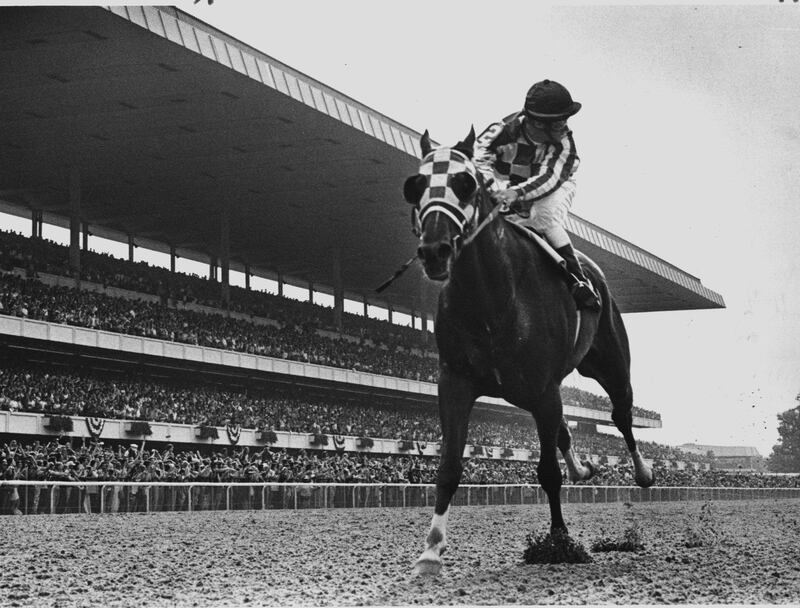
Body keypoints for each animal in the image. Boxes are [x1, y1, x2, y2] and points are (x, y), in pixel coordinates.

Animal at [404, 128, 652, 576]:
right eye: (416, 185)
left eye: (465, 183)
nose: (434, 250)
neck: (491, 296)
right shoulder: (456, 381)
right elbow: (449, 467)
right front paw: (430, 551)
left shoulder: (542, 387)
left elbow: (548, 472)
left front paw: (560, 541)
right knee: (567, 427)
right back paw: (584, 467)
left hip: (609, 364)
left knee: (621, 414)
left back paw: (643, 471)